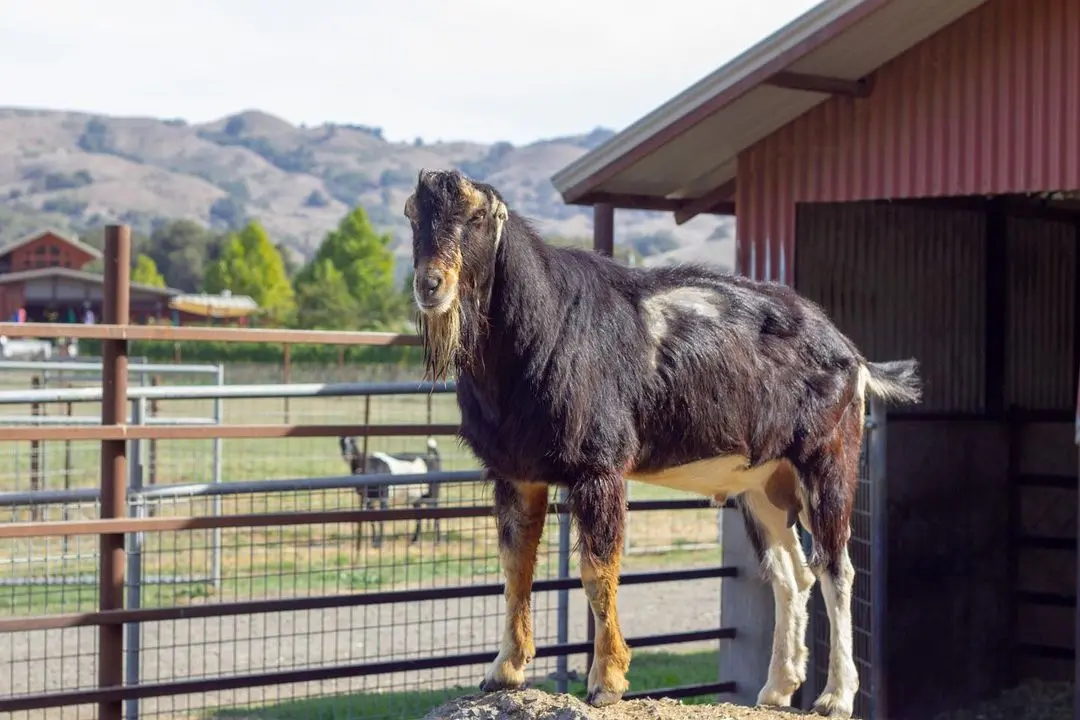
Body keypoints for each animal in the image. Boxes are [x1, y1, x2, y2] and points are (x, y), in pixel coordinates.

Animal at [401, 169, 924, 716]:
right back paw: (777, 688)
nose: (429, 284)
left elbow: (597, 571)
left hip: (828, 457)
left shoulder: (600, 467)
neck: (541, 329)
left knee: (836, 568)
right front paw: (503, 671)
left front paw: (606, 682)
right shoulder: (515, 472)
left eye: (477, 216)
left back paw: (835, 696)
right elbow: (516, 566)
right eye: (412, 215)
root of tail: (854, 355)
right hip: (763, 484)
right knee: (790, 574)